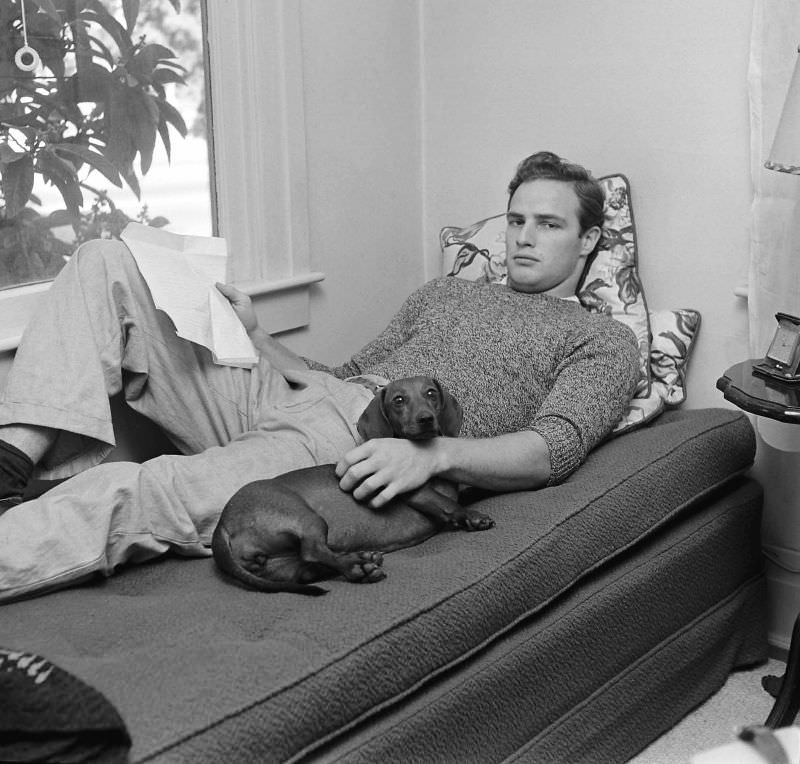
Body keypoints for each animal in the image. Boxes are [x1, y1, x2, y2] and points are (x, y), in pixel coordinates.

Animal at [209, 374, 490, 592]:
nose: (426, 419)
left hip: (277, 564)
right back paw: (357, 566)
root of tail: (221, 524)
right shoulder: (410, 489)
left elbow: (465, 493)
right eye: (398, 400)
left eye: (431, 393)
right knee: (313, 550)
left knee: (304, 570)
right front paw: (472, 516)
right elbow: (447, 503)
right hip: (304, 517)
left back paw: (359, 560)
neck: (423, 452)